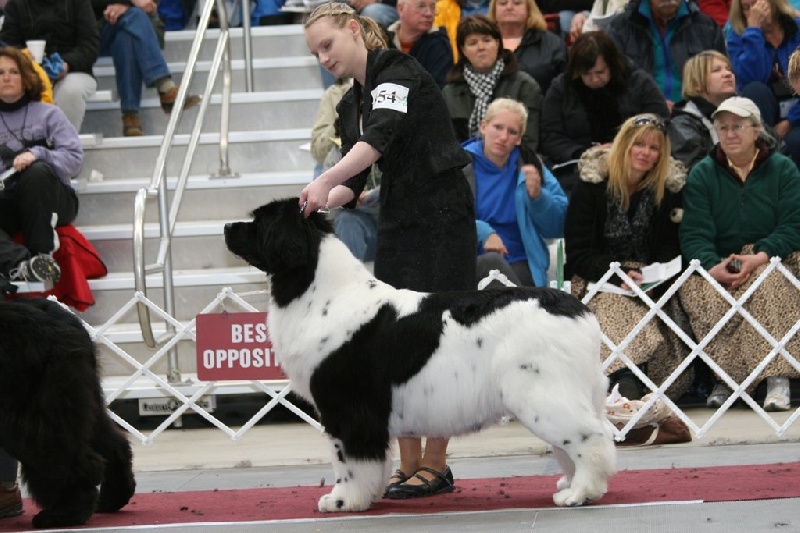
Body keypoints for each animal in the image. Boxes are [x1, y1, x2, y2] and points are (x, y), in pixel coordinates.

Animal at [0, 298, 136, 524]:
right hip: (83, 404)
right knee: (114, 446)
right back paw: (112, 499)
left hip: (36, 415)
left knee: (76, 462)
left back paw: (66, 513)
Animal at [222, 198, 616, 512]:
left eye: (259, 222)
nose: (227, 226)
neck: (320, 294)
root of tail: (578, 309)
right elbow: (373, 462)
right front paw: (369, 495)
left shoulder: (347, 407)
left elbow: (348, 460)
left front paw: (343, 500)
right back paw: (574, 485)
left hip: (543, 395)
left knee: (591, 438)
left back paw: (579, 493)